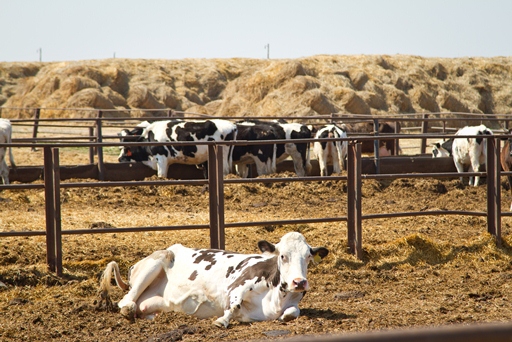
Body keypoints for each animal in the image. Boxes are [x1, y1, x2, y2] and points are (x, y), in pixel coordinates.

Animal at [98, 231, 330, 328]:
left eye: (308, 257)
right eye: (282, 255)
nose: (299, 282)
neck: (275, 298)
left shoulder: (292, 304)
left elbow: (292, 313)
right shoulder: (237, 285)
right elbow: (234, 305)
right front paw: (222, 320)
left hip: (154, 305)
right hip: (158, 260)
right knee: (125, 301)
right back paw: (127, 308)